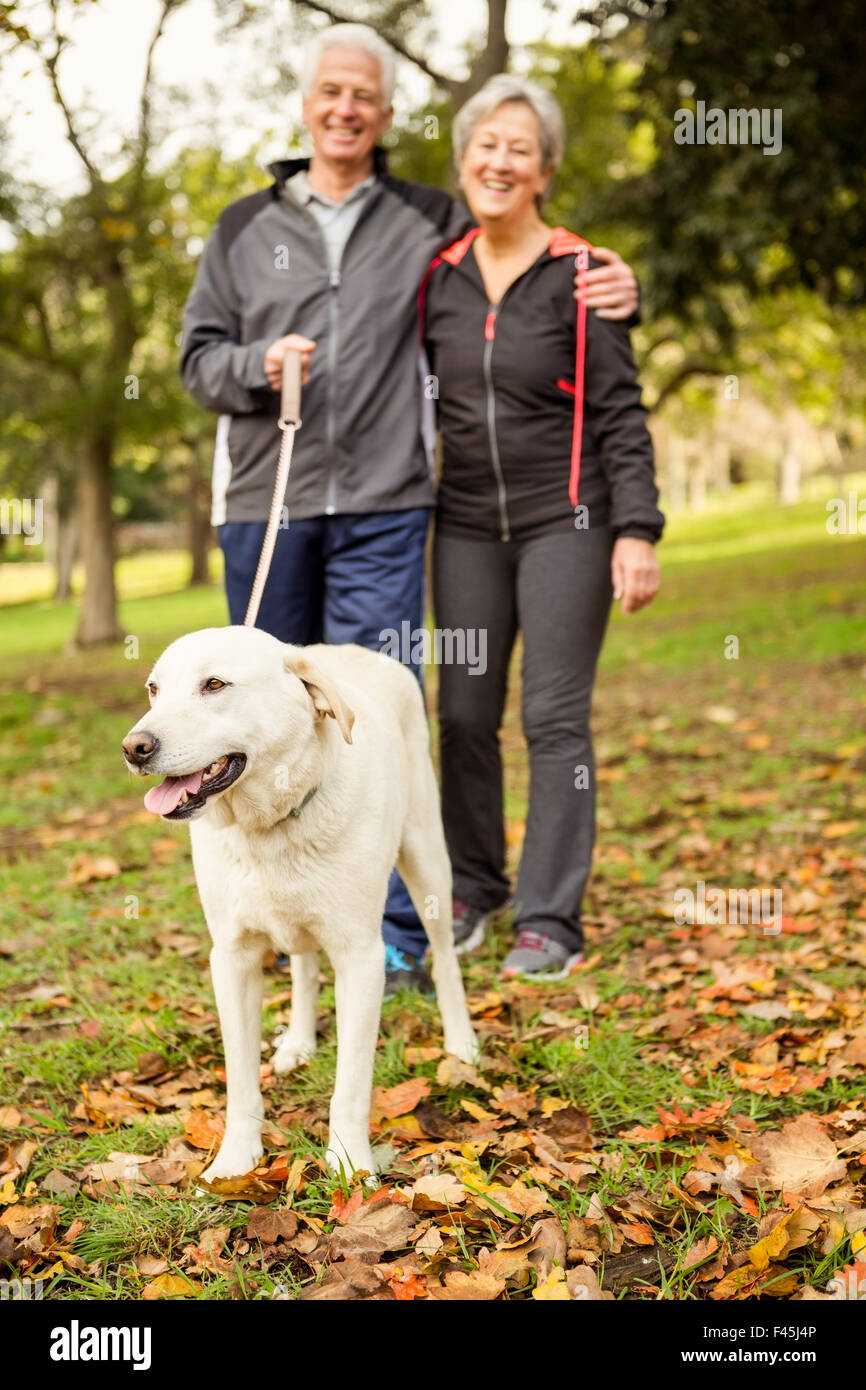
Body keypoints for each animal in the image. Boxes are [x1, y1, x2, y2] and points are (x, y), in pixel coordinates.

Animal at [122, 631, 478, 1184]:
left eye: (214, 684)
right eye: (154, 690)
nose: (134, 748)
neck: (269, 826)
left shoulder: (361, 958)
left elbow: (351, 1084)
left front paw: (349, 1166)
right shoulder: (233, 958)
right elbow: (241, 1078)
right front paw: (235, 1161)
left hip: (426, 860)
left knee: (443, 959)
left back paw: (461, 1041)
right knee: (305, 969)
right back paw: (297, 1042)